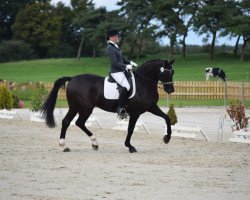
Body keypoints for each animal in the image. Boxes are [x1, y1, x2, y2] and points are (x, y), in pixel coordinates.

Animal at [41, 58, 175, 152]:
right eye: (166, 73)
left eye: (173, 72)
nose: (170, 90)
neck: (143, 83)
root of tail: (72, 78)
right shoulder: (135, 112)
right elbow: (130, 129)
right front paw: (130, 146)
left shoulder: (151, 107)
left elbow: (167, 118)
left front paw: (167, 138)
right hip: (85, 108)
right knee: (79, 122)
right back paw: (94, 143)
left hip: (75, 107)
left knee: (67, 122)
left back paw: (65, 146)